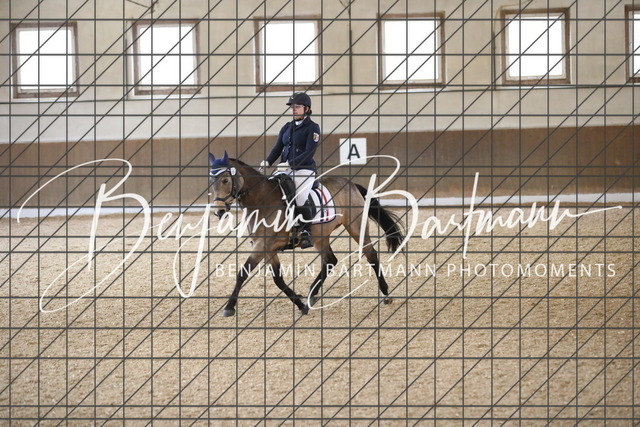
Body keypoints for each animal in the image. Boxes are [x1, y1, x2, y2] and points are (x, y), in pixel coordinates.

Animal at [208, 151, 404, 317]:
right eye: (211, 181)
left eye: (225, 180)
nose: (218, 212)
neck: (261, 200)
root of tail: (350, 184)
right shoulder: (266, 247)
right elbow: (278, 279)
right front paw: (300, 304)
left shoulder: (263, 245)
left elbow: (243, 273)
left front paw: (229, 308)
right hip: (320, 236)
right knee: (330, 261)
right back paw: (312, 296)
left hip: (355, 227)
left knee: (370, 254)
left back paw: (386, 295)